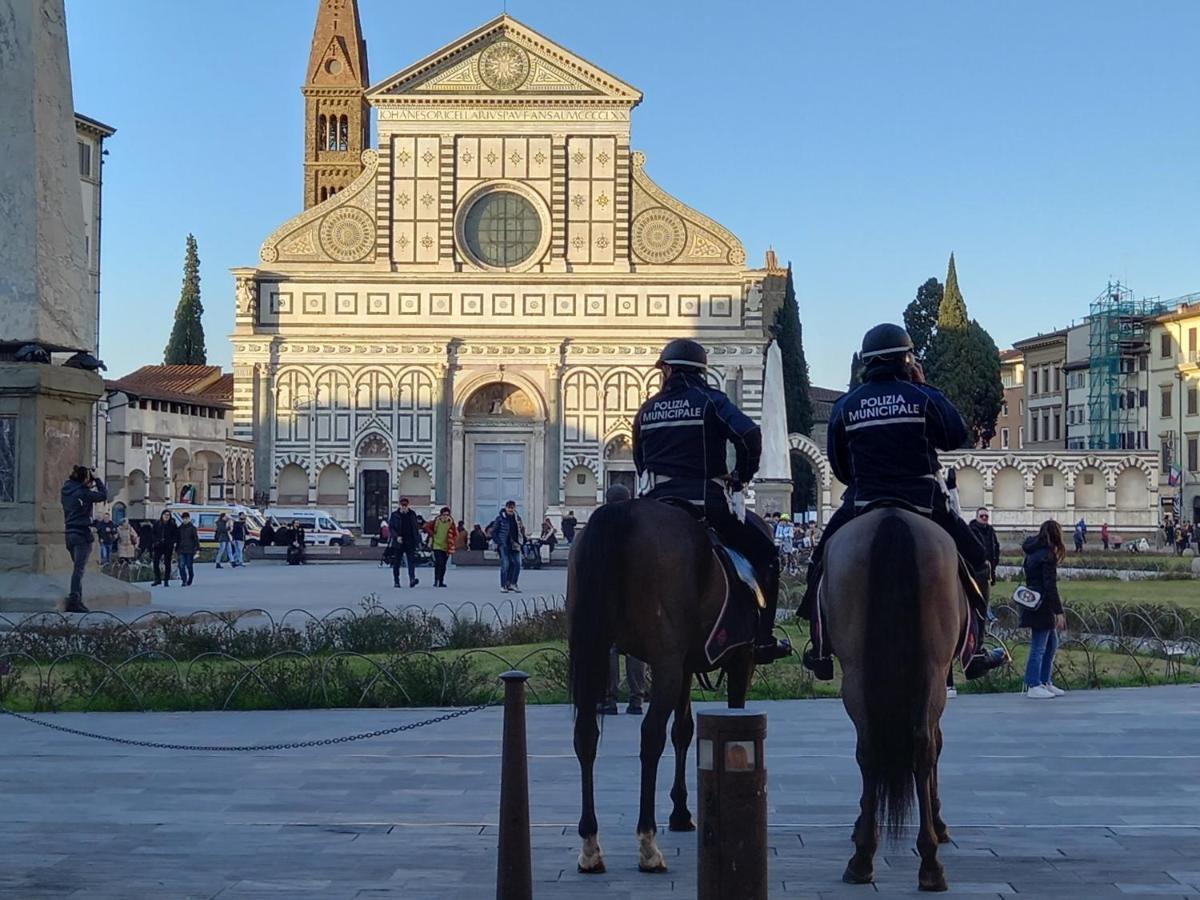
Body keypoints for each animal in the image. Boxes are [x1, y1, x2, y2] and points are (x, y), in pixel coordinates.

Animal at [568, 501, 758, 873]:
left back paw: (590, 844)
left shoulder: (685, 666)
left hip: (591, 648)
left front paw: (681, 811)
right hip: (666, 660)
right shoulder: (739, 658)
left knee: (586, 734)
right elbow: (731, 717)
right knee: (650, 735)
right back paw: (647, 843)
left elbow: (683, 730)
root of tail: (624, 511)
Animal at [825, 508, 964, 897]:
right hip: (928, 669)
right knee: (919, 746)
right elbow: (938, 746)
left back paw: (872, 858)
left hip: (861, 670)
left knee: (876, 748)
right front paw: (938, 821)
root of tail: (892, 516)